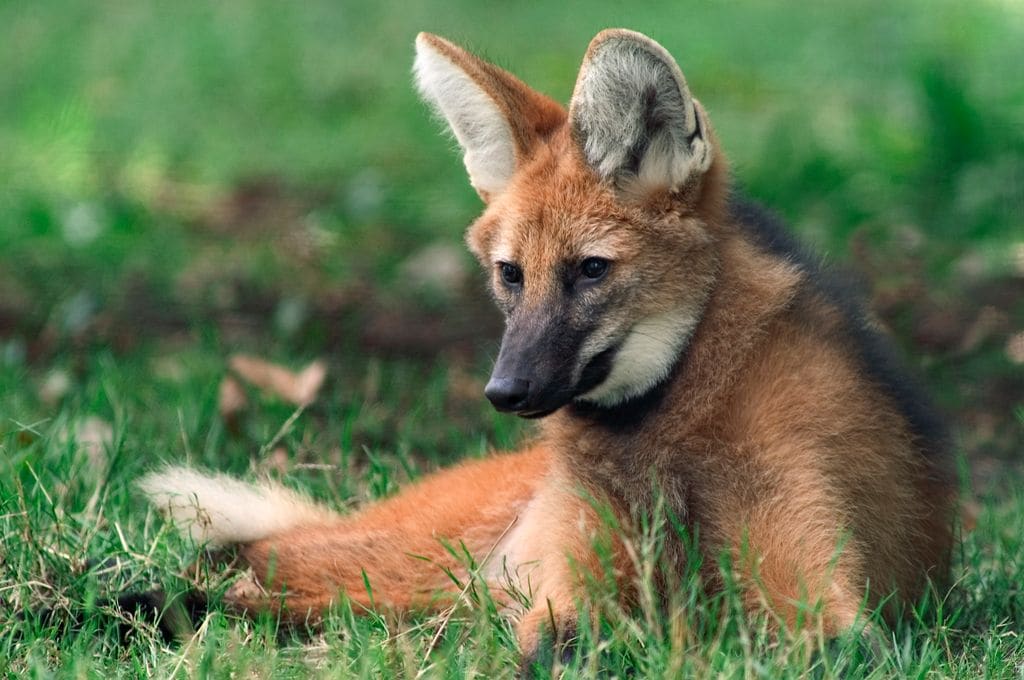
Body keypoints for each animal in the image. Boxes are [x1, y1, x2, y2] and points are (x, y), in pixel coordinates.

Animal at [140, 30, 954, 663]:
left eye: (590, 269)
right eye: (512, 273)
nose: (507, 391)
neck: (668, 424)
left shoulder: (827, 595)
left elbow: (815, 642)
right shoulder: (572, 581)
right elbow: (560, 642)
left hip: (430, 589)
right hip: (425, 565)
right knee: (254, 568)